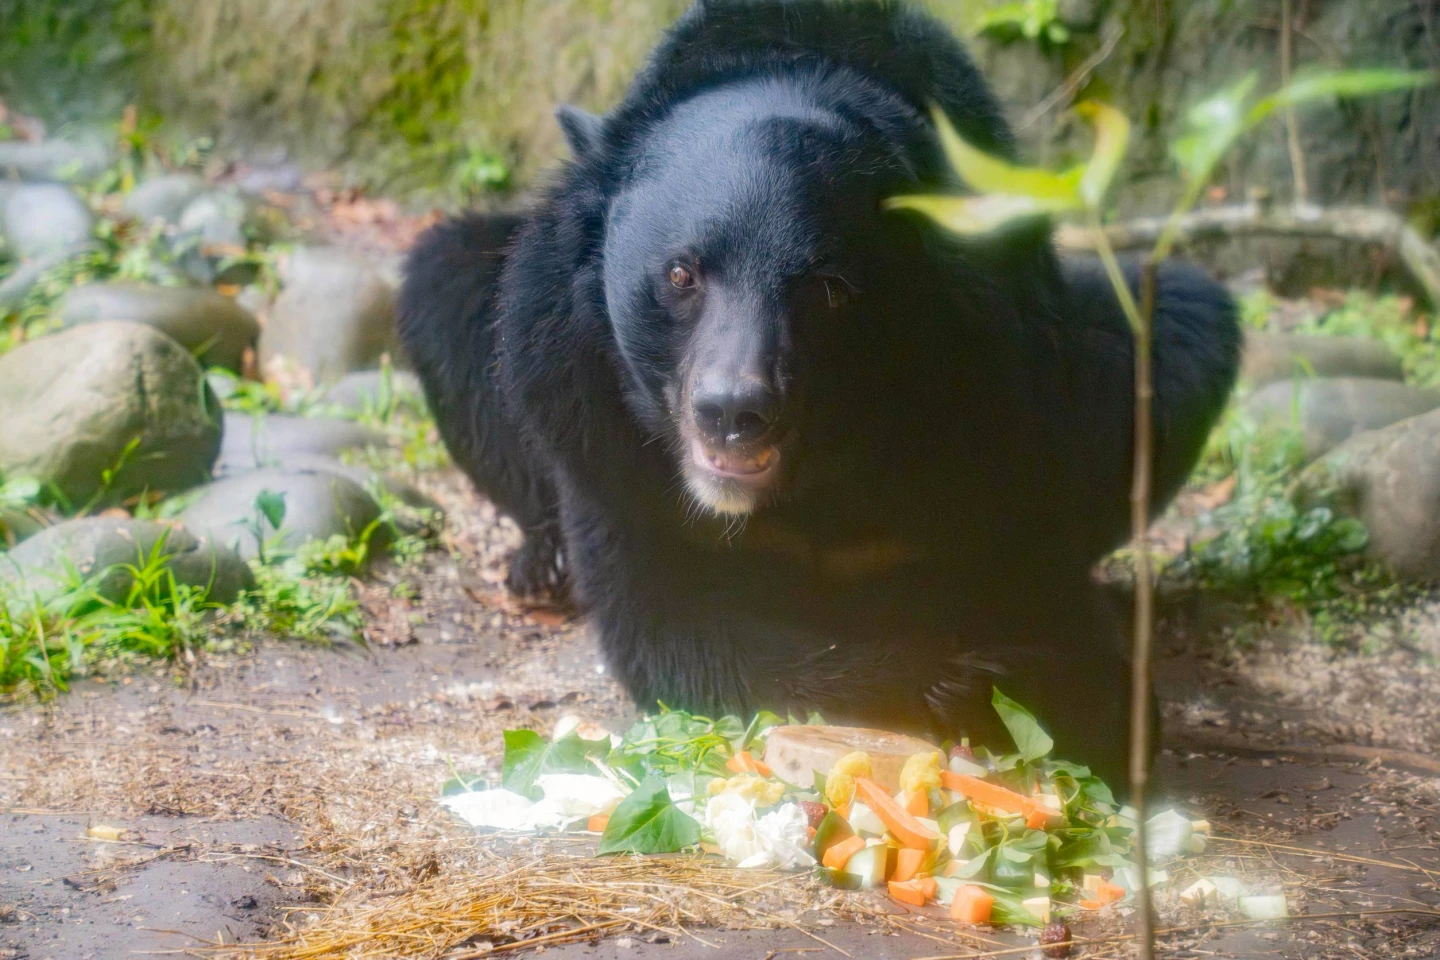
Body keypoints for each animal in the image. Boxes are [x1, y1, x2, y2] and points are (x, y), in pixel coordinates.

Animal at [399, 0, 1241, 785]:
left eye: (828, 290)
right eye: (681, 273)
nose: (733, 414)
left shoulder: (998, 403)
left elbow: (1063, 619)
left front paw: (1016, 688)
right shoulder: (597, 430)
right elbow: (677, 630)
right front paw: (945, 683)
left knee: (1186, 317)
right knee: (445, 279)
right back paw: (541, 566)